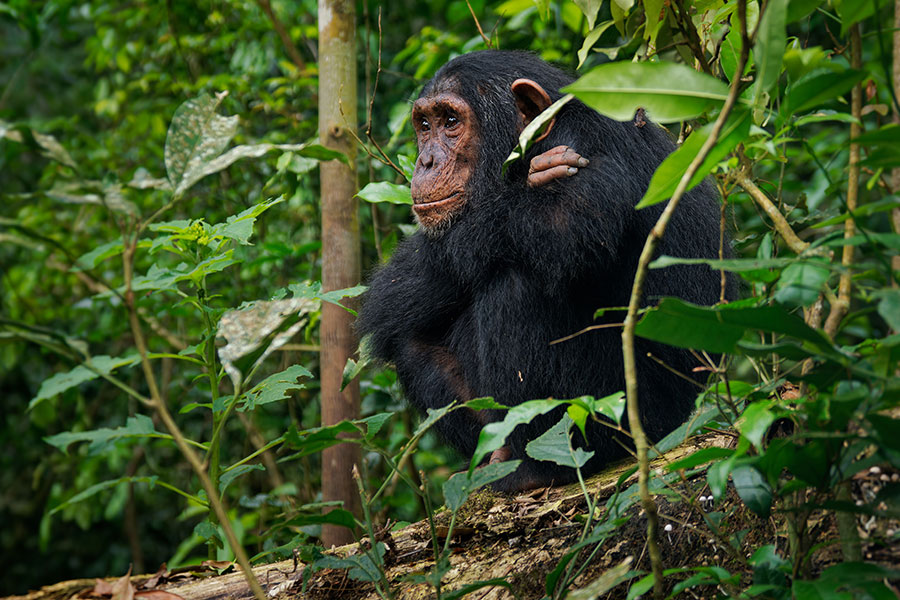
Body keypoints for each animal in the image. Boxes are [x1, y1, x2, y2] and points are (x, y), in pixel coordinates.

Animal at [356, 50, 728, 492]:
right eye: (424, 125)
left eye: (450, 121)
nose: (426, 160)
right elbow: (399, 294)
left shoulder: (586, 147)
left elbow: (560, 223)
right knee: (411, 340)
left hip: (614, 414)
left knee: (518, 283)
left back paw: (537, 469)